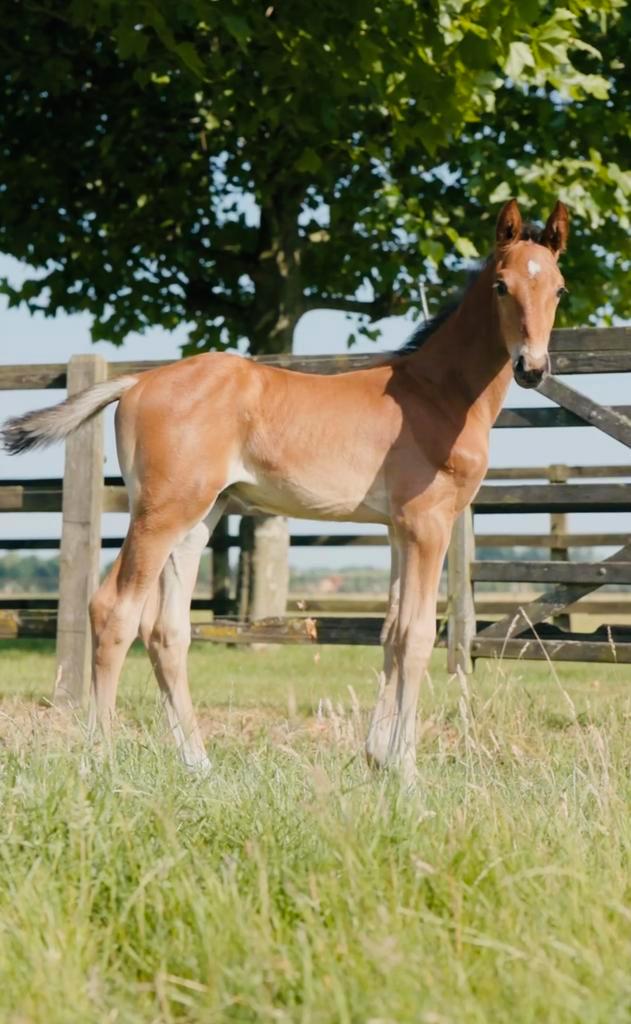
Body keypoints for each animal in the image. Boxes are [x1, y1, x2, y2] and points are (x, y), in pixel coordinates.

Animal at [2, 199, 569, 782]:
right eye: (501, 285)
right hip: (162, 513)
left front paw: (378, 757)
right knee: (114, 610)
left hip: (199, 517)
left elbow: (390, 631)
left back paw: (199, 763)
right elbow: (415, 636)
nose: (532, 367)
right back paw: (99, 760)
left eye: (558, 289)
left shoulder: (396, 529)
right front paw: (408, 772)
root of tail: (137, 382)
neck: (438, 394)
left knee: (167, 629)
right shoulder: (427, 524)